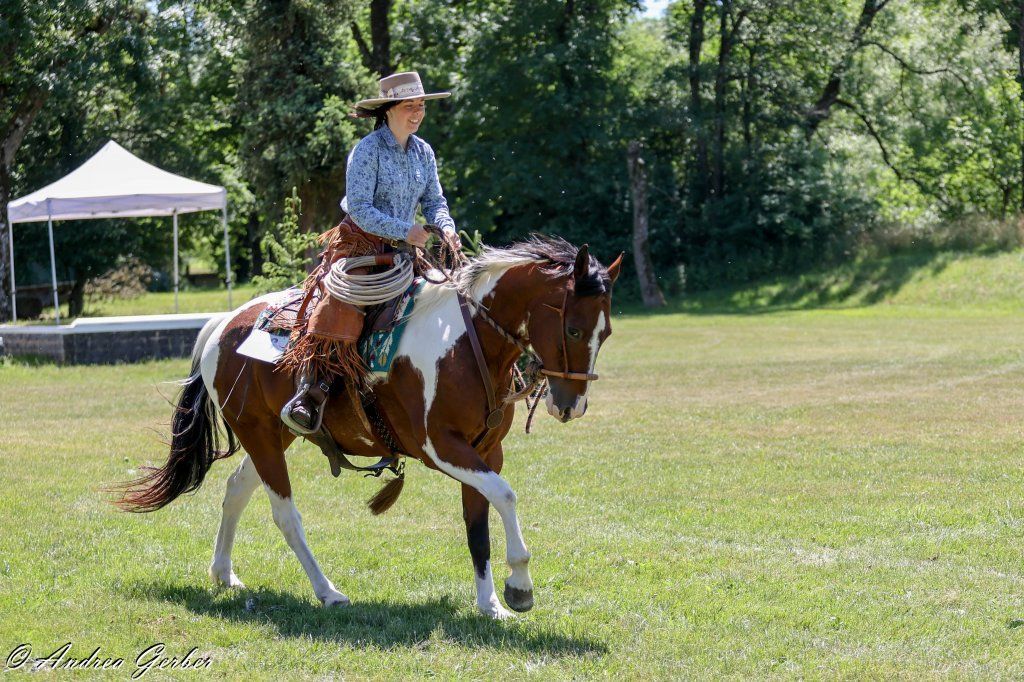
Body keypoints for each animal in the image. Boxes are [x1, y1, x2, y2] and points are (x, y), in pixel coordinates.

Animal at [113, 236, 622, 619]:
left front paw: (491, 603)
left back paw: (224, 573)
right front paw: (519, 585)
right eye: (573, 330)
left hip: (275, 435)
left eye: (608, 333)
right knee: (285, 515)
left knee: (237, 489)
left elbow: (478, 524)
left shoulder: (485, 450)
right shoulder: (442, 448)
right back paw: (328, 591)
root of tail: (223, 324)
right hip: (260, 435)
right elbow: (506, 496)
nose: (572, 405)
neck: (468, 342)